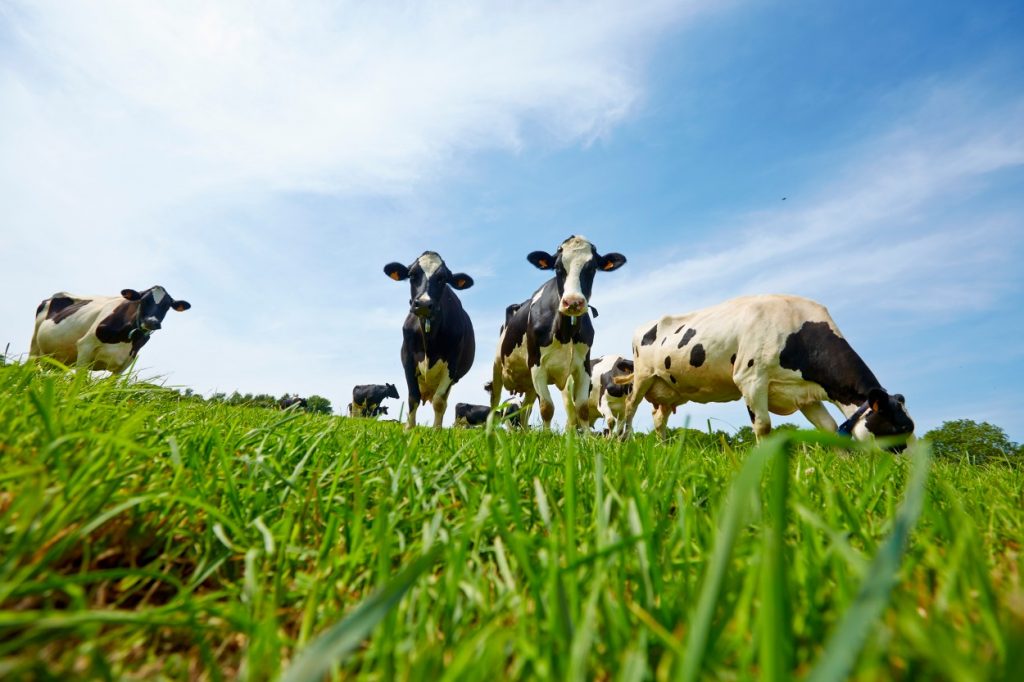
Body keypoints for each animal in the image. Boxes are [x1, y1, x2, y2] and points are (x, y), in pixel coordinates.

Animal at [385, 251, 477, 428]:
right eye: (412, 275)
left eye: (442, 278)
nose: (423, 304)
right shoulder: (408, 359)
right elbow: (413, 397)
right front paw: (409, 429)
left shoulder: (452, 364)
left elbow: (439, 401)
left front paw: (436, 431)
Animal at [487, 233, 622, 425]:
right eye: (558, 268)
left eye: (592, 268)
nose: (573, 302)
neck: (565, 335)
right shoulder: (537, 365)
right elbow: (547, 408)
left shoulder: (584, 367)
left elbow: (582, 409)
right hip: (497, 367)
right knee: (494, 402)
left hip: (529, 384)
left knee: (525, 411)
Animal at [610, 292, 917, 446]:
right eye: (896, 428)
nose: (906, 471)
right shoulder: (750, 379)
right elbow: (763, 425)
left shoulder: (804, 393)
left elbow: (828, 428)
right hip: (643, 377)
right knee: (630, 408)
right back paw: (622, 441)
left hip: (669, 389)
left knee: (659, 420)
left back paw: (664, 449)